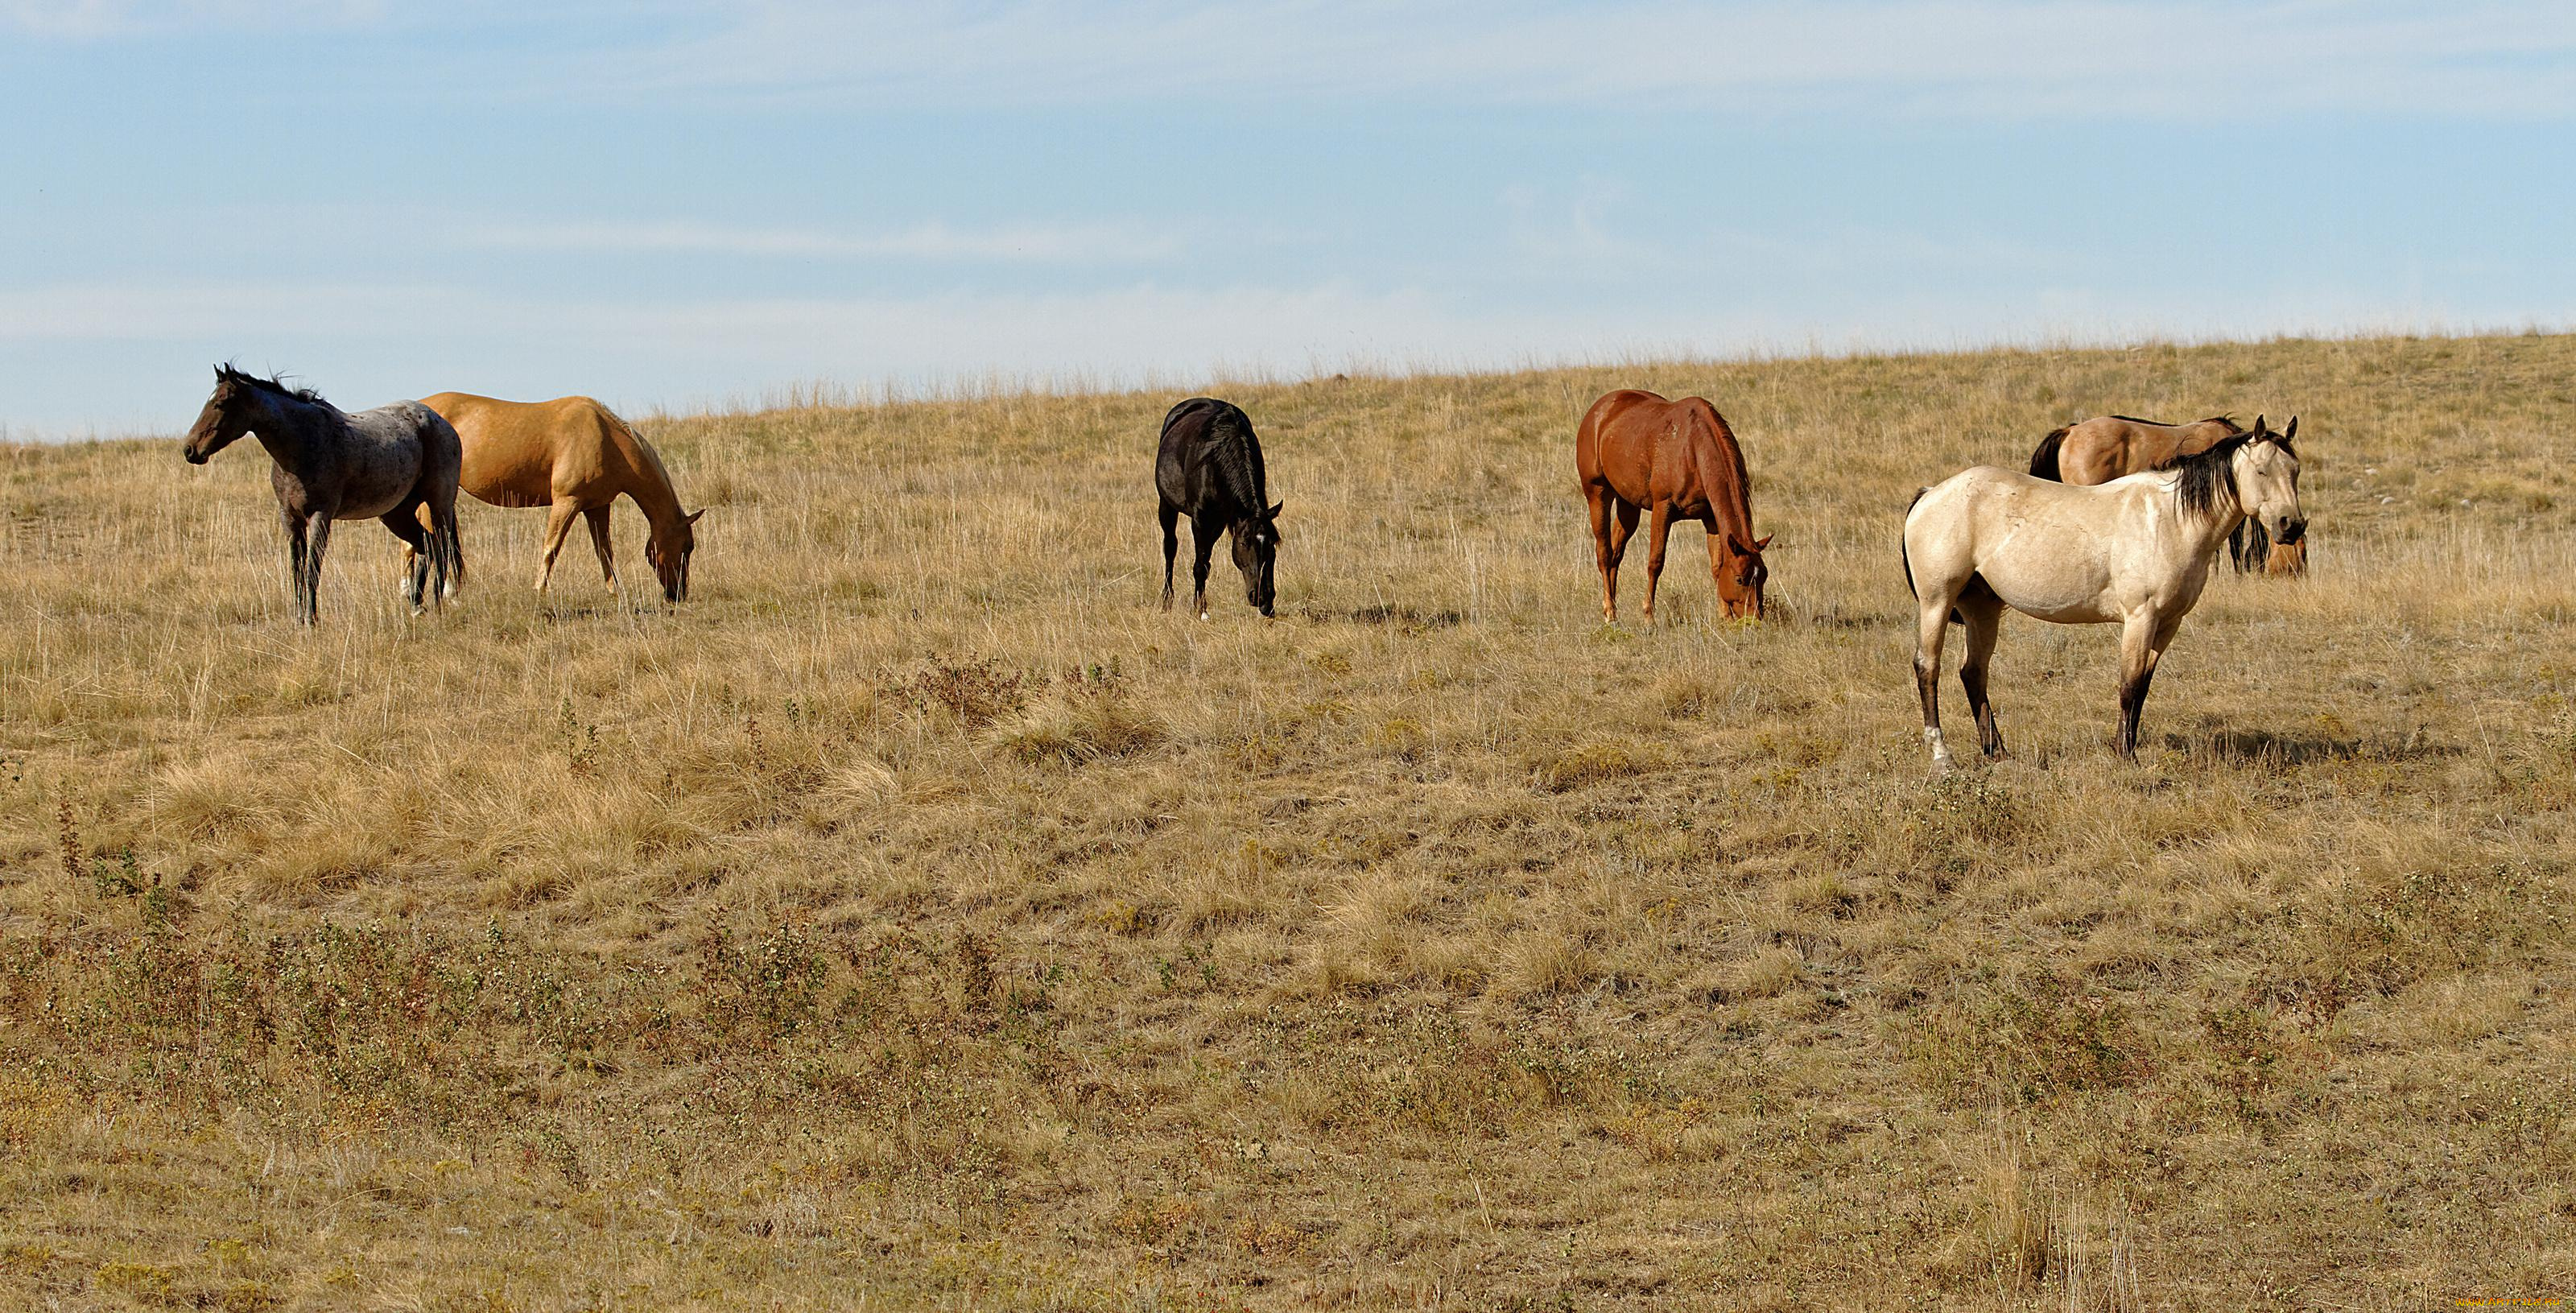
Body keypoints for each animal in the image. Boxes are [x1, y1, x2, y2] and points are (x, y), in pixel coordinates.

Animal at [181, 360, 469, 622]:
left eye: (221, 403)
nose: (190, 449)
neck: (302, 444)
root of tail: (444, 424)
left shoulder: (320, 516)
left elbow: (311, 570)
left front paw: (311, 620)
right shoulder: (290, 519)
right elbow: (296, 570)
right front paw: (298, 619)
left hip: (439, 504)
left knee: (441, 548)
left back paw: (436, 604)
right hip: (396, 513)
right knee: (427, 545)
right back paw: (416, 605)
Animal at [419, 391, 705, 602]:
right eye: (687, 546)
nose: (678, 595)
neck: (606, 438)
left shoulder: (597, 507)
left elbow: (605, 552)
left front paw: (616, 592)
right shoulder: (567, 502)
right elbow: (552, 548)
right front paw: (540, 590)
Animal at [1154, 396, 1282, 617]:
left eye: (1272, 545)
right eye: (1244, 543)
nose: (1259, 596)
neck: (1216, 462)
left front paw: (1269, 607)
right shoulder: (1200, 519)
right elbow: (1200, 565)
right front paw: (1200, 610)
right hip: (1167, 506)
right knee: (1170, 548)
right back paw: (1167, 601)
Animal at [1566, 386, 1772, 622]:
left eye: (1764, 575)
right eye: (1740, 579)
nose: (1754, 619)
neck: (1692, 447)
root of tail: (1598, 411)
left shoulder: (1711, 517)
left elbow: (1717, 566)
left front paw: (1725, 617)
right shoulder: (1662, 508)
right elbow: (1655, 562)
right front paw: (1649, 617)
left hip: (1628, 504)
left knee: (1616, 554)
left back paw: (1615, 610)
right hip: (1597, 494)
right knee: (1604, 553)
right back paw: (1609, 612)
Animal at [1906, 417, 2308, 767]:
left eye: (2295, 471)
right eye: (2261, 471)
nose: (2291, 525)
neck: (2168, 521)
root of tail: (1929, 495)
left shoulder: (2168, 623)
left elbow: (2142, 687)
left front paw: (2124, 747)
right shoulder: (2140, 618)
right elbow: (2128, 686)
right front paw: (2126, 756)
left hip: (1982, 609)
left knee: (1974, 673)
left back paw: (1997, 751)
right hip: (1937, 602)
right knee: (1928, 668)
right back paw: (1942, 755)